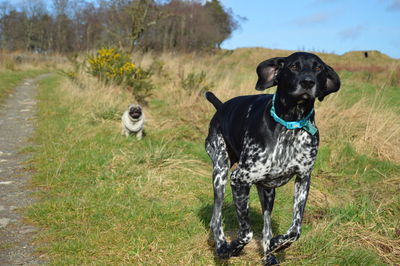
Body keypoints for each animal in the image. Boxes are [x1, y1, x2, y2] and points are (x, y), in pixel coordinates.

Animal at [205, 51, 340, 264]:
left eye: (318, 68)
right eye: (293, 66)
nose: (308, 82)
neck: (290, 125)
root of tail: (222, 107)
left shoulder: (303, 179)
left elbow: (295, 230)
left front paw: (279, 244)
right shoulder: (239, 180)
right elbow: (246, 233)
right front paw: (232, 248)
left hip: (267, 192)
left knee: (267, 226)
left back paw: (269, 253)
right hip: (220, 172)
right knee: (216, 218)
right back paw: (221, 245)